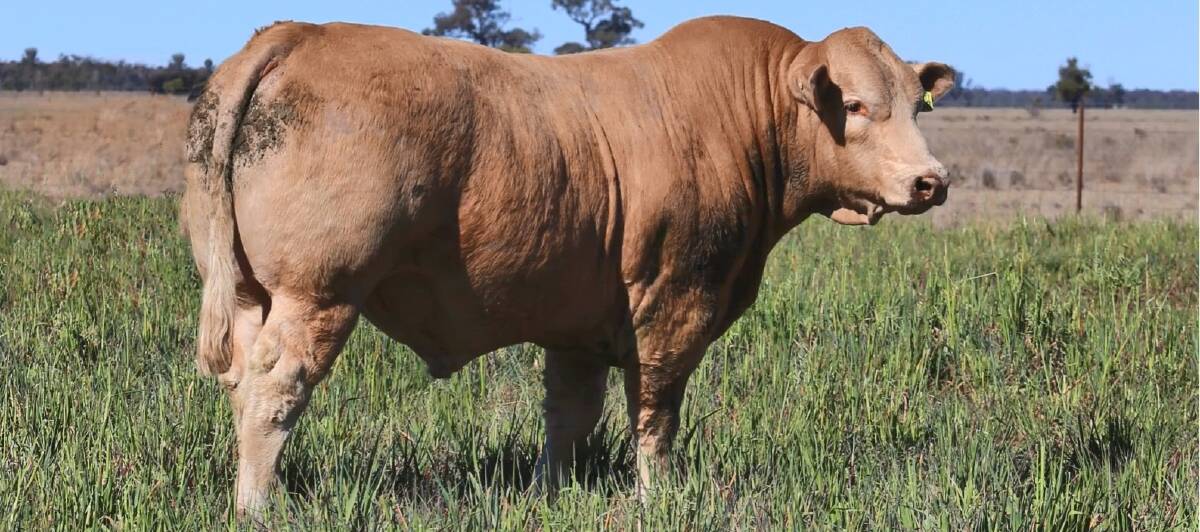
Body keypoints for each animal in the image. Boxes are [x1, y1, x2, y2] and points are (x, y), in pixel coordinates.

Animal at [181, 15, 953, 514]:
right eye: (855, 105)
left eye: (916, 106)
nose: (931, 181)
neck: (741, 117)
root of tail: (300, 33)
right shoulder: (676, 303)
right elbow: (655, 415)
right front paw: (655, 497)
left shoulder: (579, 322)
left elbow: (568, 417)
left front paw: (551, 496)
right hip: (317, 293)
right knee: (275, 391)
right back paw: (259, 506)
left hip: (249, 292)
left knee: (243, 382)